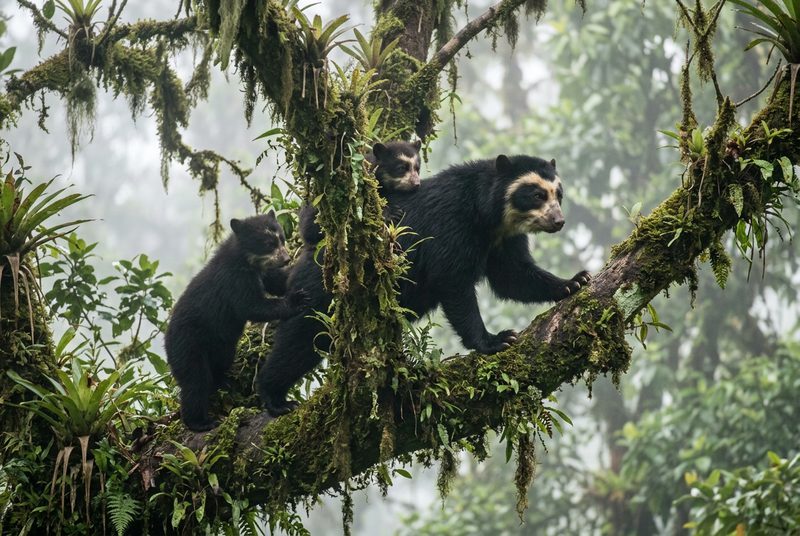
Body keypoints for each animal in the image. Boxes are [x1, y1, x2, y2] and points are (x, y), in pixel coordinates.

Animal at [165, 212, 307, 431]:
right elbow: (252, 306)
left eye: (282, 239)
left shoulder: (263, 272)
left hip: (222, 347)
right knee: (195, 381)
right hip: (187, 344)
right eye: (268, 243)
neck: (247, 261)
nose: (286, 258)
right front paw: (296, 300)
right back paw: (201, 422)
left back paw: (223, 381)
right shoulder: (233, 280)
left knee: (219, 364)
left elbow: (278, 281)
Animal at [257, 154, 591, 416]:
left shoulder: (503, 240)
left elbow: (513, 277)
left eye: (559, 195)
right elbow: (454, 282)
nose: (559, 221)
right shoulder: (451, 225)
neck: (489, 217)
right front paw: (496, 340)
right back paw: (274, 397)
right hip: (319, 290)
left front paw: (575, 282)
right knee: (298, 339)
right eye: (536, 195)